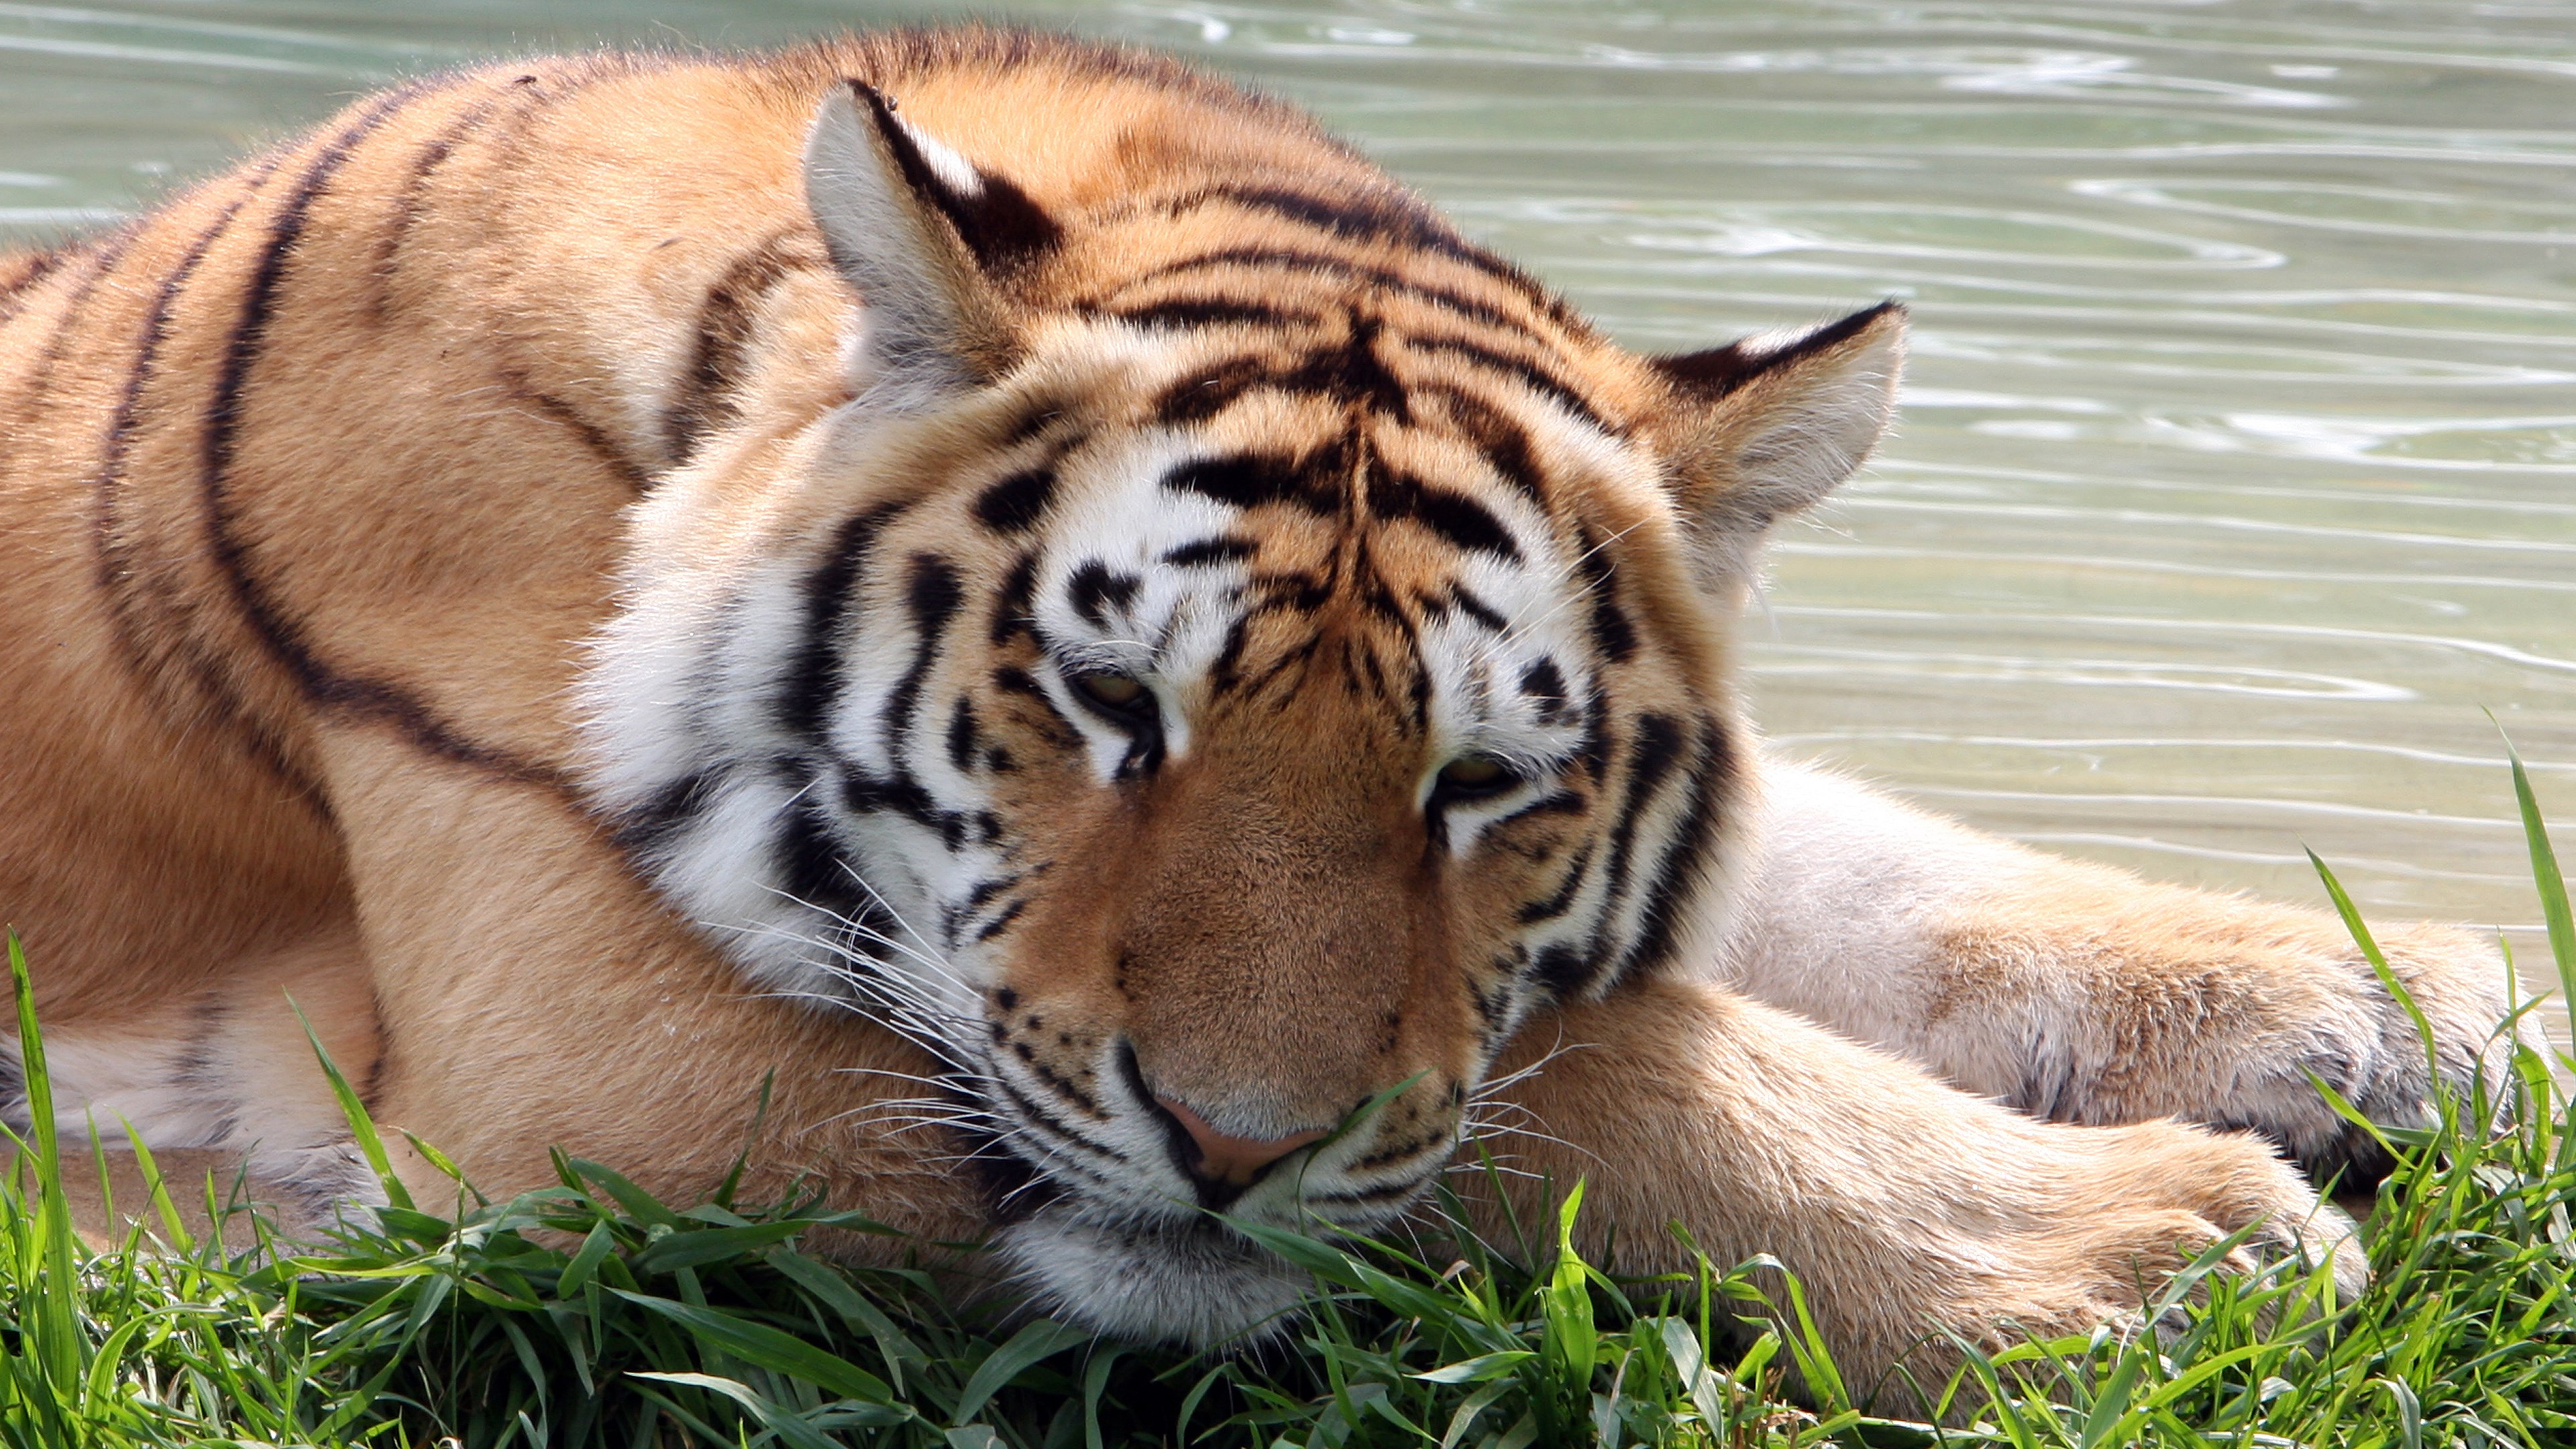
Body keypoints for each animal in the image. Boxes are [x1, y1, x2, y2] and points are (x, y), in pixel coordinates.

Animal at [0, 27, 2525, 1406]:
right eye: (1108, 703)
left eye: (1485, 782)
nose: (1227, 1153)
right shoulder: (594, 1063)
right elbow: (1596, 1079)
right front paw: (2173, 1252)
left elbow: (1829, 879)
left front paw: (2410, 1007)